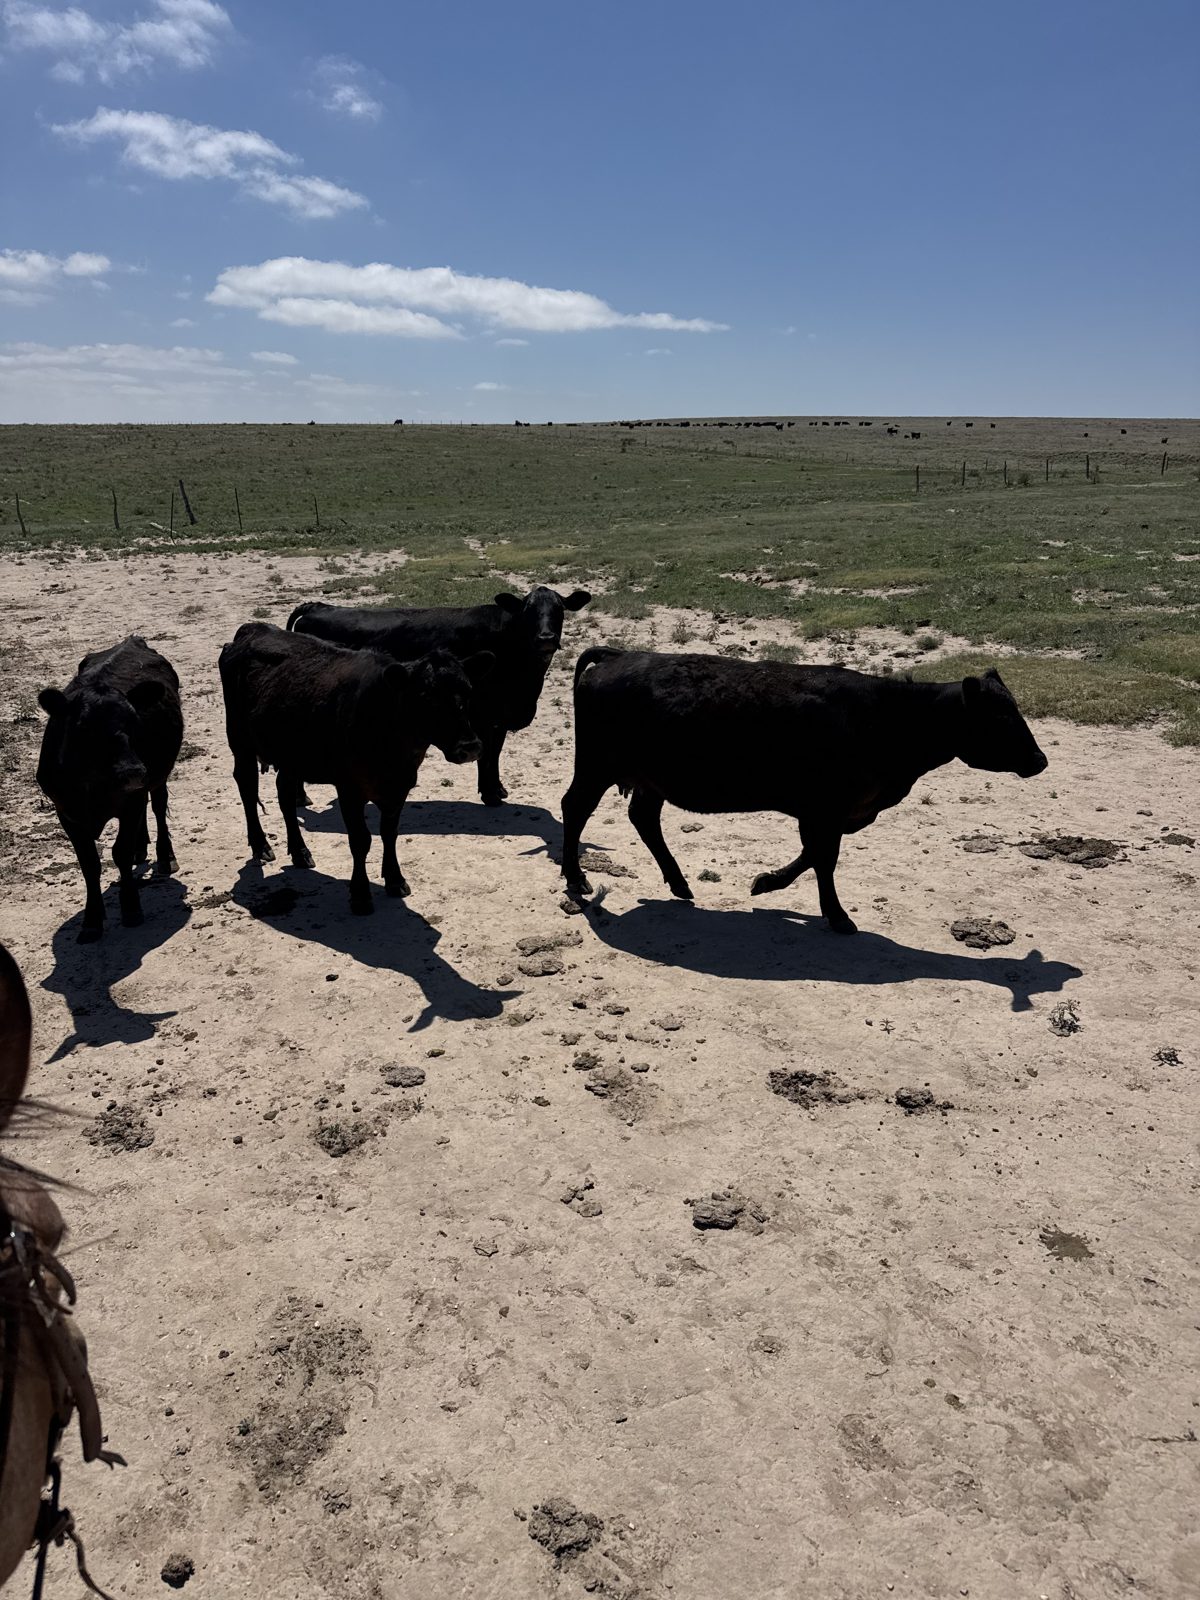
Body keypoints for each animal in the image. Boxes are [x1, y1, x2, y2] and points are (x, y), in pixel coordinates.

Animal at [36, 636, 183, 942]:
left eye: (134, 721)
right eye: (82, 726)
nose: (133, 772)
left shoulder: (131, 800)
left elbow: (120, 852)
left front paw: (131, 908)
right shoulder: (65, 812)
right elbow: (89, 863)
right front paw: (92, 919)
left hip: (158, 776)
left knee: (158, 806)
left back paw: (165, 856)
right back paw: (142, 847)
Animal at [219, 623, 492, 914]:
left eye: (469, 690)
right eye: (425, 697)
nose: (470, 746)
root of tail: (254, 628)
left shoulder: (399, 787)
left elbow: (389, 833)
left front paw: (395, 880)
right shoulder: (349, 789)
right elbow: (361, 840)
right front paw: (360, 895)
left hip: (292, 754)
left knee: (285, 795)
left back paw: (300, 852)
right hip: (240, 740)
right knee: (247, 787)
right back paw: (261, 845)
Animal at [286, 586, 591, 806]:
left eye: (559, 609)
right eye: (528, 610)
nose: (546, 638)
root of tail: (318, 606)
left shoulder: (499, 718)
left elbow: (495, 752)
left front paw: (497, 789)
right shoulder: (483, 713)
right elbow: (487, 753)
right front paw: (490, 794)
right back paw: (300, 796)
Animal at [561, 650, 1047, 932]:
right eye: (999, 719)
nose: (1040, 760)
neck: (885, 716)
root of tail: (619, 655)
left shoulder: (827, 812)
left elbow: (813, 855)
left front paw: (768, 884)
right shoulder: (825, 808)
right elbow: (823, 859)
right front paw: (836, 915)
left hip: (649, 779)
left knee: (643, 818)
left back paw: (679, 883)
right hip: (596, 767)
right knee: (575, 808)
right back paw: (576, 878)